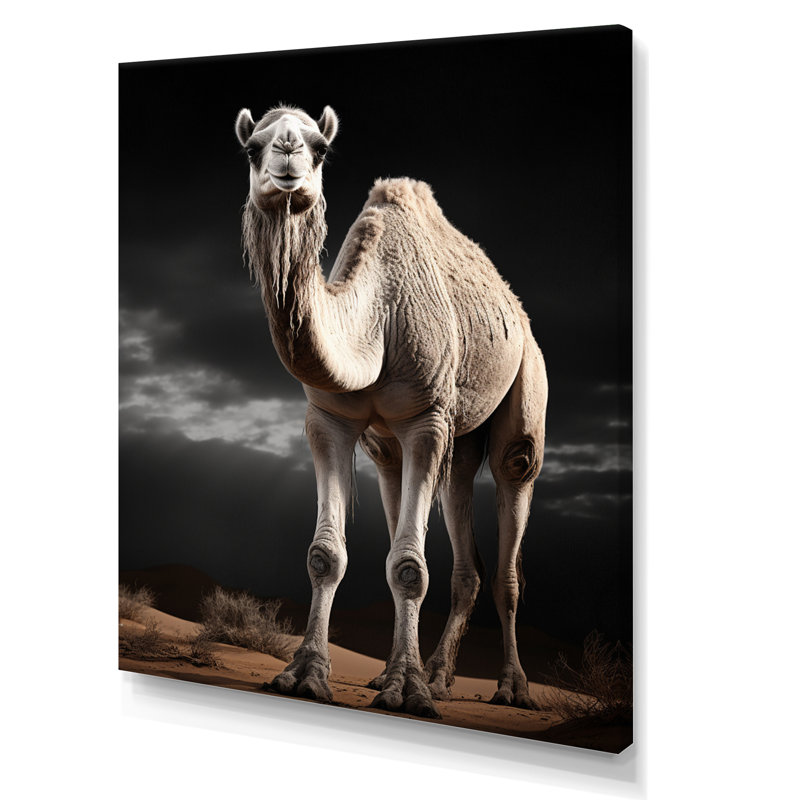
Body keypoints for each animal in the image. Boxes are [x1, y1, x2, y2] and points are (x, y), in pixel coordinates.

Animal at [235, 104, 547, 718]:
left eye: (320, 148)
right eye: (252, 147)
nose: (286, 155)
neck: (375, 318)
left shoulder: (426, 417)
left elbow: (408, 567)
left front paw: (409, 692)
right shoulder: (328, 420)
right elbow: (325, 555)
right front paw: (304, 675)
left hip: (524, 386)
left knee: (511, 503)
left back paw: (510, 688)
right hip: (436, 438)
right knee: (459, 531)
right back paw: (434, 675)